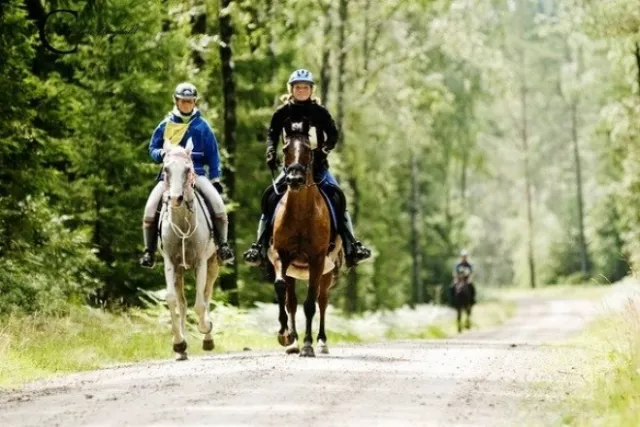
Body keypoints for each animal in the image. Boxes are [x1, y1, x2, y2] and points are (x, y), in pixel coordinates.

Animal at [158, 138, 219, 362]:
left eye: (188, 169)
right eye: (166, 169)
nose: (175, 198)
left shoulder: (201, 263)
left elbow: (200, 304)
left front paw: (206, 327)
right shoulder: (170, 262)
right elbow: (171, 299)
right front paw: (178, 343)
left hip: (213, 264)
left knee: (206, 296)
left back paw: (208, 337)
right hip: (180, 271)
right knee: (182, 303)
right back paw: (182, 349)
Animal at [266, 118, 342, 356]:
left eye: (309, 149)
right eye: (284, 148)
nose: (295, 179)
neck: (300, 214)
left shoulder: (317, 259)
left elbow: (310, 303)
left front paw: (308, 345)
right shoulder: (280, 254)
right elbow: (281, 289)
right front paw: (285, 335)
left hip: (327, 272)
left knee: (322, 301)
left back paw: (321, 342)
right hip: (292, 270)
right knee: (291, 301)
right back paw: (293, 342)